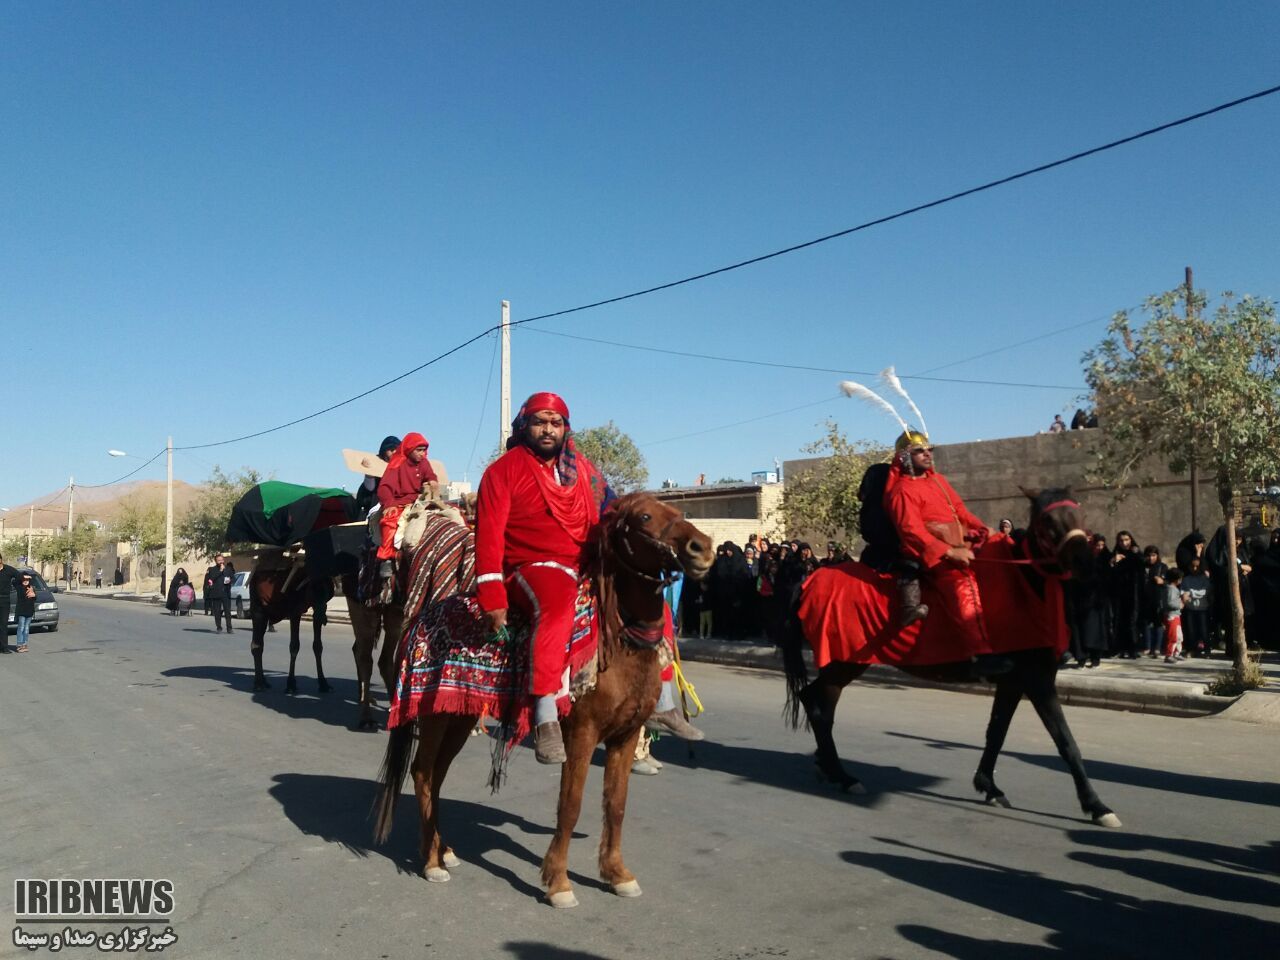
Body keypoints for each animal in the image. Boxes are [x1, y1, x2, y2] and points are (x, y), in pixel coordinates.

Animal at [371, 496, 716, 911]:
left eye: (678, 513)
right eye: (645, 516)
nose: (703, 548)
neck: (618, 643)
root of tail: (421, 616)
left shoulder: (626, 734)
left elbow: (615, 806)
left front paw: (617, 874)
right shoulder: (582, 733)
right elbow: (571, 806)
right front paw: (559, 882)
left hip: (459, 716)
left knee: (435, 776)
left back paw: (444, 850)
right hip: (435, 713)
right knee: (423, 773)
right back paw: (431, 862)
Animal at [778, 488, 1121, 829]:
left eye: (1079, 514)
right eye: (1046, 521)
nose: (1086, 563)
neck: (1020, 584)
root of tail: (809, 582)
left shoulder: (1013, 681)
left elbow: (997, 731)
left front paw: (989, 786)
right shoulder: (1036, 679)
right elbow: (1065, 741)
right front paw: (1096, 805)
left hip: (842, 666)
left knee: (814, 701)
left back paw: (828, 767)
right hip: (843, 664)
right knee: (820, 710)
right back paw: (843, 776)